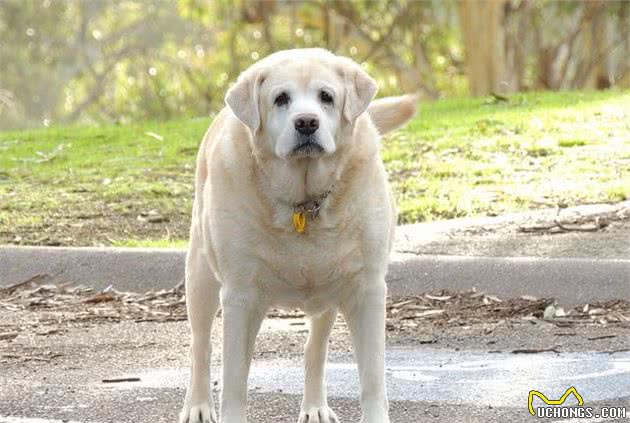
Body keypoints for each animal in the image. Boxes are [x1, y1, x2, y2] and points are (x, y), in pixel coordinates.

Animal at [179, 48, 420, 423]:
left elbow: (372, 374)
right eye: (281, 98)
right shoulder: (240, 294)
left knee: (314, 348)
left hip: (327, 293)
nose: (307, 122)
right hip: (201, 275)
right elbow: (233, 379)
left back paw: (315, 405)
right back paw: (198, 405)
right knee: (201, 345)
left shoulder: (367, 289)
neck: (304, 201)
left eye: (326, 97)